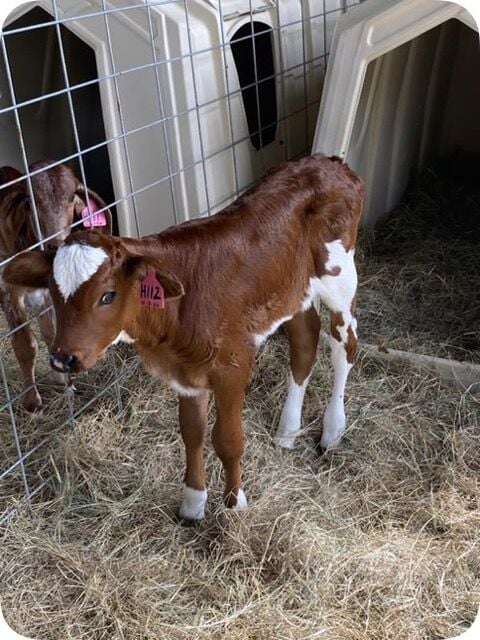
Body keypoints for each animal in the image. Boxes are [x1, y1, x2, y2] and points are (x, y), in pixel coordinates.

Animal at [0, 160, 111, 410]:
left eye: (72, 197)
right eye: (31, 201)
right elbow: (25, 345)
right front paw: (32, 403)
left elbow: (51, 335)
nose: (55, 243)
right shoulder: (8, 291)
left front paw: (65, 383)